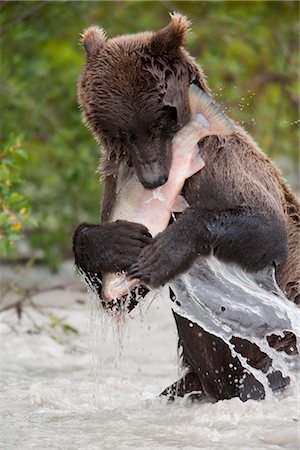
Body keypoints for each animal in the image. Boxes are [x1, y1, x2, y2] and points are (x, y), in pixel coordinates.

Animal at [73, 13, 300, 400]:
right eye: (123, 132)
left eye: (155, 123)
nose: (153, 179)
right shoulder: (115, 182)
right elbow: (118, 296)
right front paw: (116, 242)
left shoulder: (221, 164)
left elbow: (267, 227)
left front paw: (163, 252)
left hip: (281, 340)